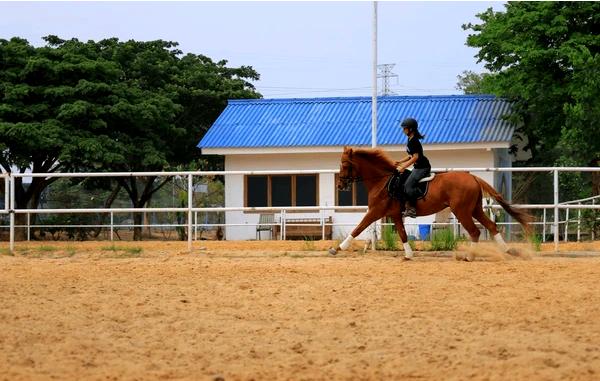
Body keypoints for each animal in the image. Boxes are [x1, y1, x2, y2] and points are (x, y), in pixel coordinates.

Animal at [330, 145, 532, 258]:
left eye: (345, 164)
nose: (340, 184)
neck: (383, 179)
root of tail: (473, 177)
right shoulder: (394, 214)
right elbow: (402, 234)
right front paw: (408, 255)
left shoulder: (376, 211)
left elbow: (358, 228)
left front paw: (337, 248)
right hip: (474, 209)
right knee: (491, 226)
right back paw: (508, 251)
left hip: (462, 211)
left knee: (475, 232)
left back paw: (469, 256)